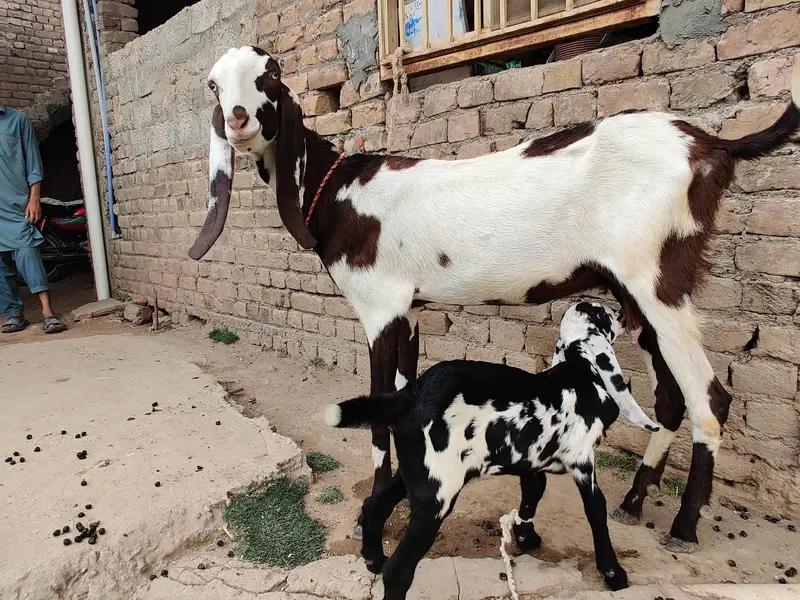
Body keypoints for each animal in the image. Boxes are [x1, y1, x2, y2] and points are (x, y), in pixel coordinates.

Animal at [188, 45, 800, 551]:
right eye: (214, 84)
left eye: (270, 75)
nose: (238, 119)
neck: (338, 188)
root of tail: (712, 144)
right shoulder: (410, 311)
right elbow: (402, 402)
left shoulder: (380, 309)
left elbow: (380, 422)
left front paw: (370, 521)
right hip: (637, 294)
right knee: (672, 397)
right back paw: (633, 501)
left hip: (659, 278)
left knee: (710, 399)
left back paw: (684, 525)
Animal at [323, 301, 643, 600]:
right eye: (605, 314)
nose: (622, 314)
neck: (579, 374)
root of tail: (413, 392)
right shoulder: (582, 462)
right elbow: (596, 511)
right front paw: (613, 572)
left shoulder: (530, 461)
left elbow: (533, 493)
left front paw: (525, 537)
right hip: (437, 497)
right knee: (398, 570)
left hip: (417, 473)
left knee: (374, 505)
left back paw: (374, 559)